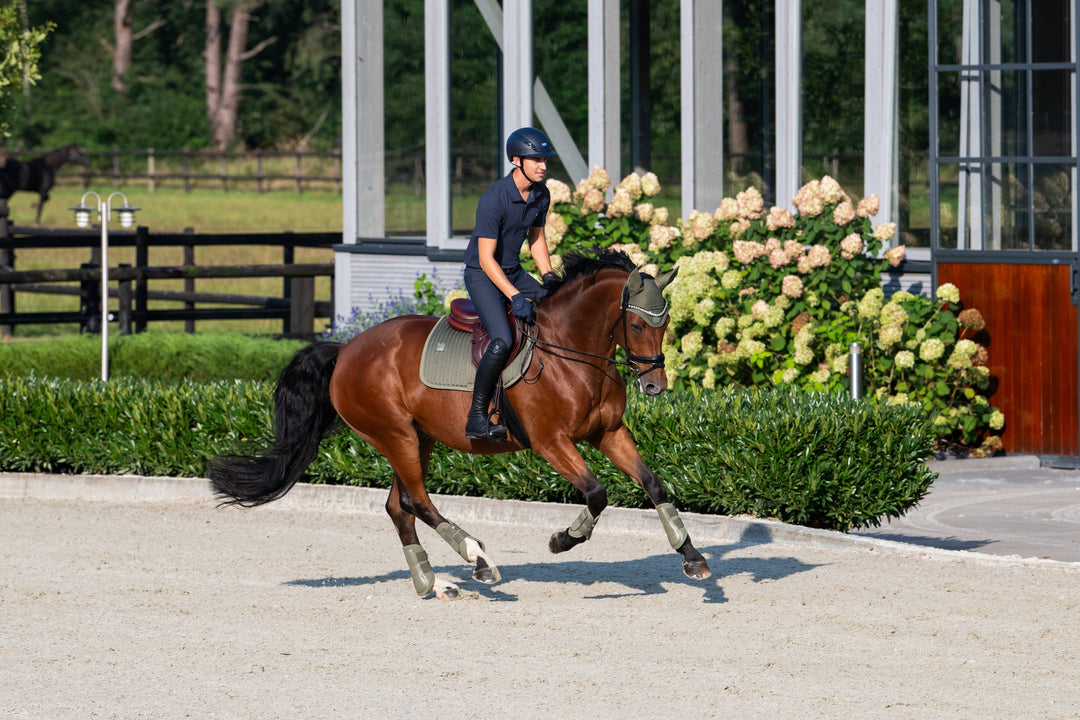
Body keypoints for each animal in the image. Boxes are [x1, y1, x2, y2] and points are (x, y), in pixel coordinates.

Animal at [208, 249, 712, 599]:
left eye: (666, 322)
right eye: (637, 324)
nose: (655, 385)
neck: (571, 351)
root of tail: (346, 349)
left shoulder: (607, 433)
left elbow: (653, 484)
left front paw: (692, 558)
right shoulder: (551, 442)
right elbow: (596, 493)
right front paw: (561, 540)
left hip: (417, 438)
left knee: (399, 507)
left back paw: (432, 582)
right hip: (394, 434)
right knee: (417, 502)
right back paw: (478, 559)